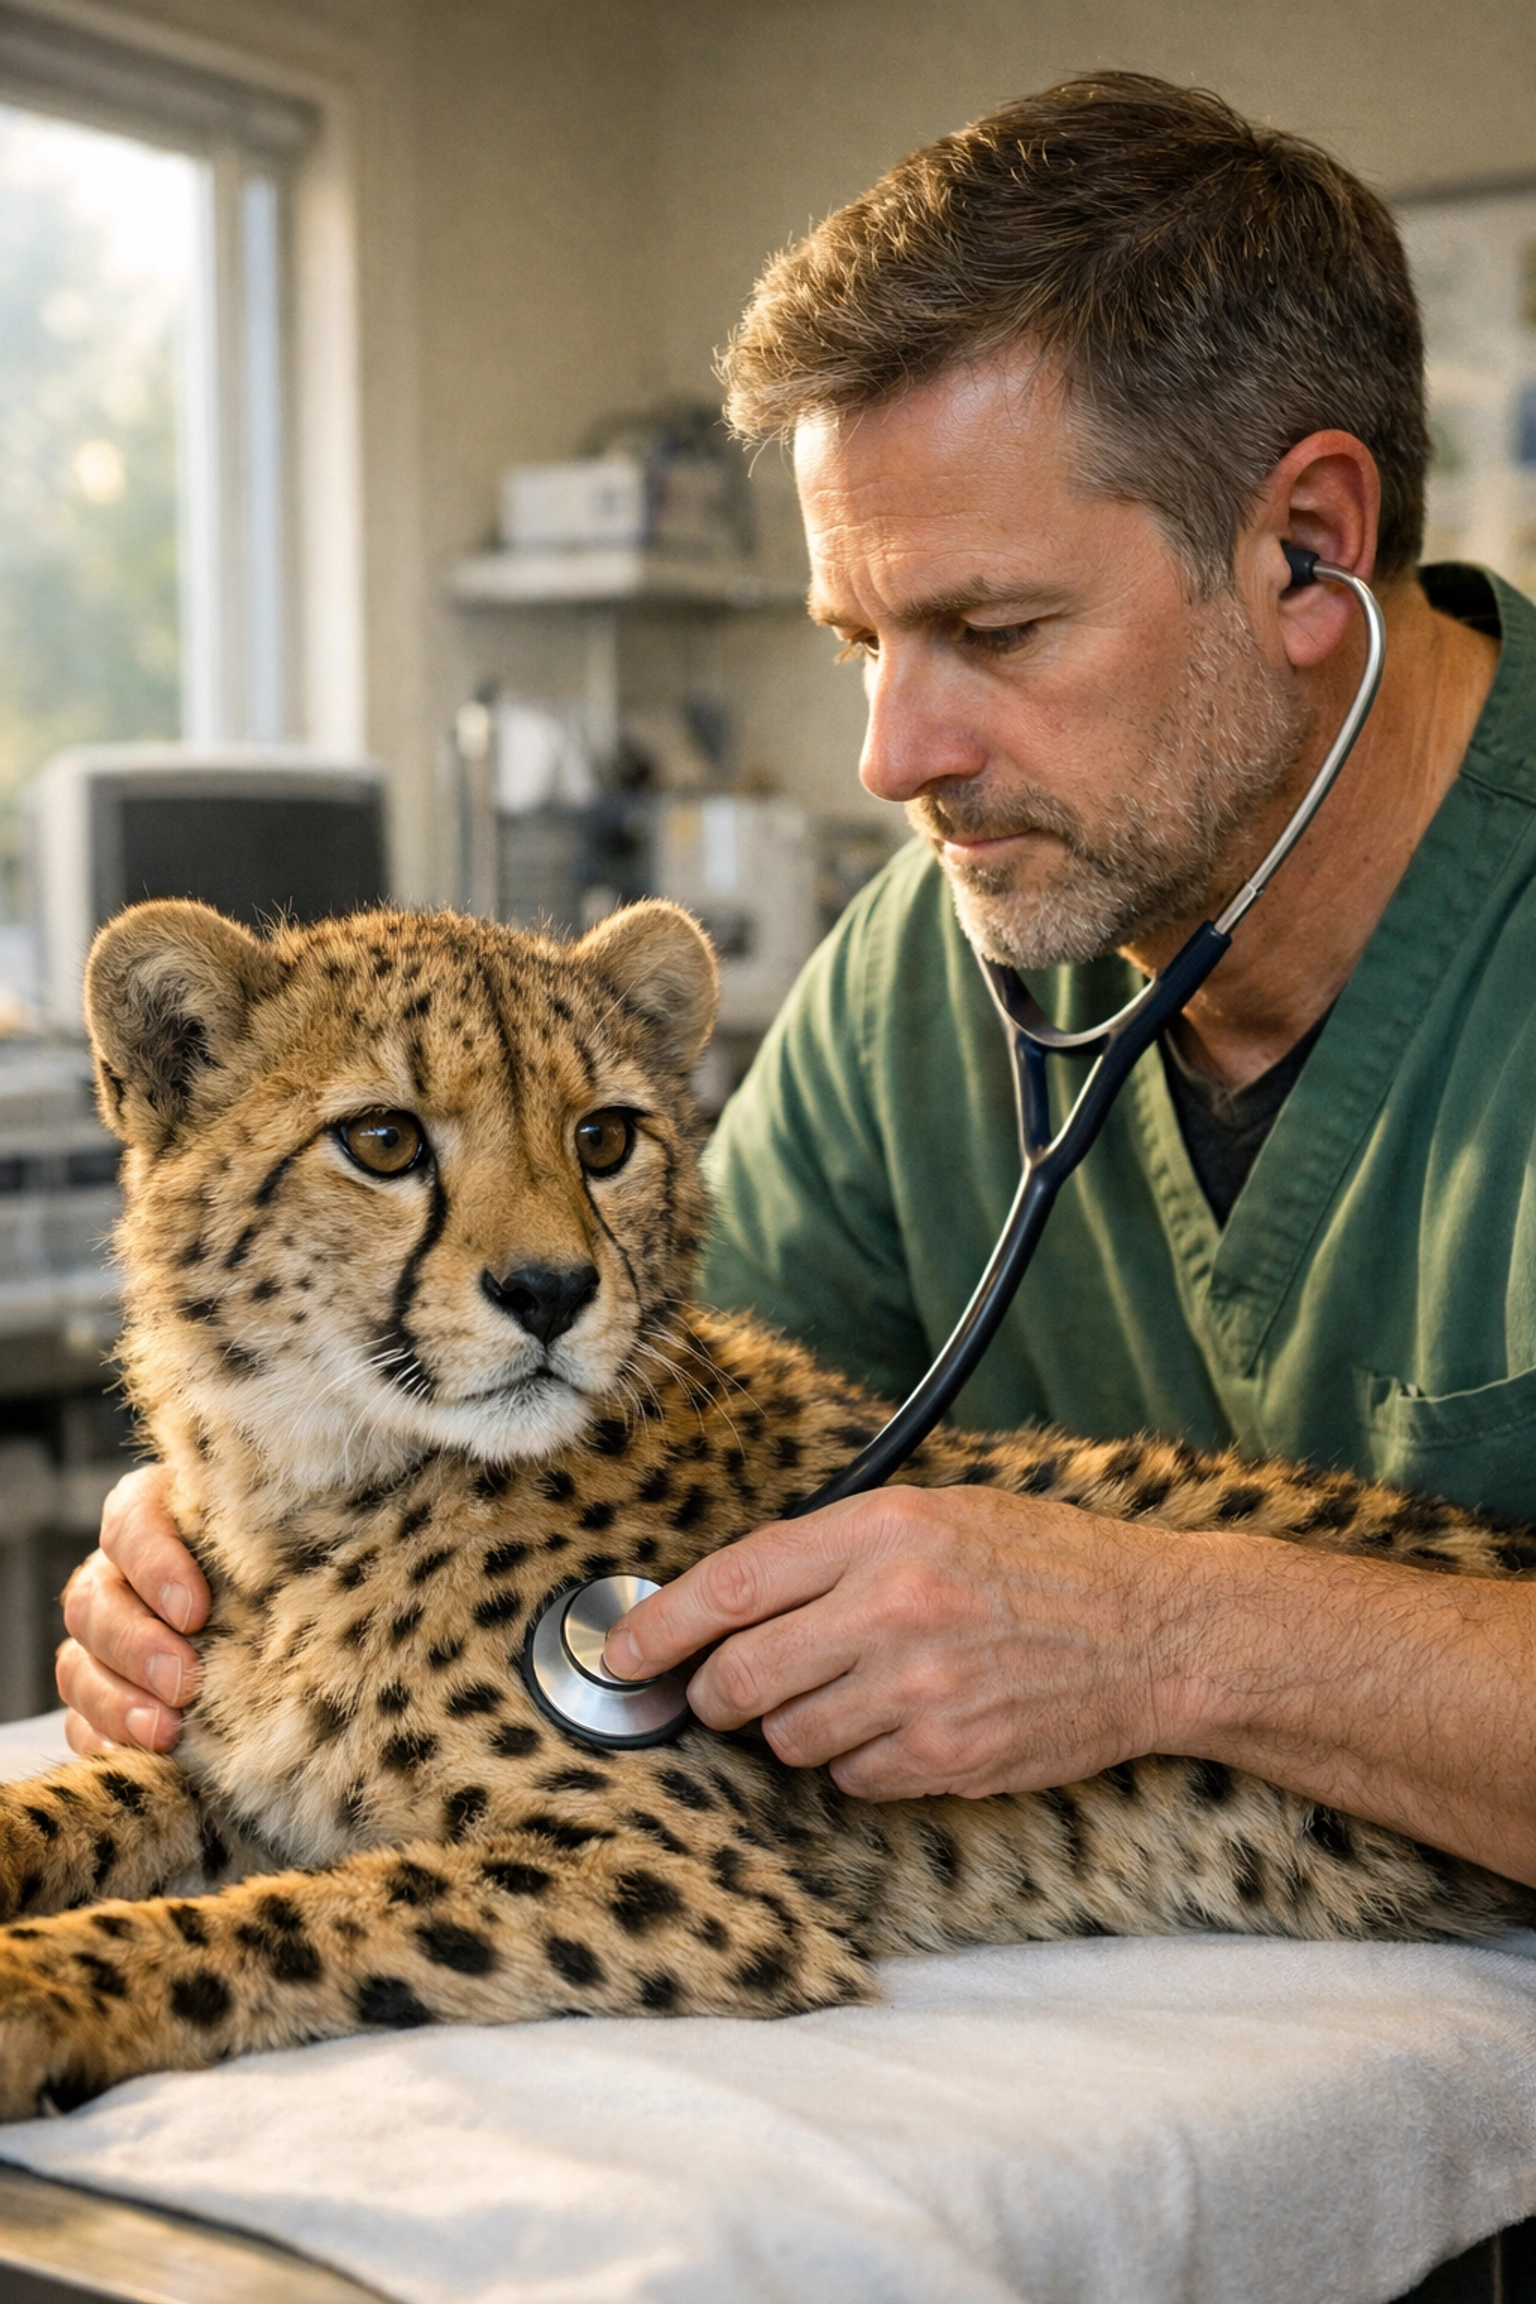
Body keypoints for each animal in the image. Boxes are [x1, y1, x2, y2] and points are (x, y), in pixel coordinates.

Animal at [0, 892, 1531, 2122]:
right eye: (382, 1140)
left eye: (604, 1137)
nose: (552, 1292)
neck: (319, 1489)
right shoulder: (248, 1770)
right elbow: (93, 1791)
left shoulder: (691, 1882)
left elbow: (299, 1918)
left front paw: (41, 1988)